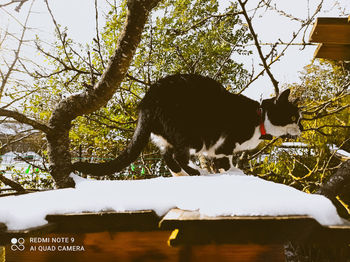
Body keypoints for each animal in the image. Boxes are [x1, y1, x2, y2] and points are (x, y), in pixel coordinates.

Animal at [72, 73, 302, 176]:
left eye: (299, 119)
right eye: (293, 118)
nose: (301, 127)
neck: (260, 118)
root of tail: (148, 101)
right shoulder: (223, 145)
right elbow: (227, 162)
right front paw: (234, 172)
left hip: (165, 135)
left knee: (167, 156)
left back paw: (181, 173)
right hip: (191, 135)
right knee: (177, 155)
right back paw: (193, 172)